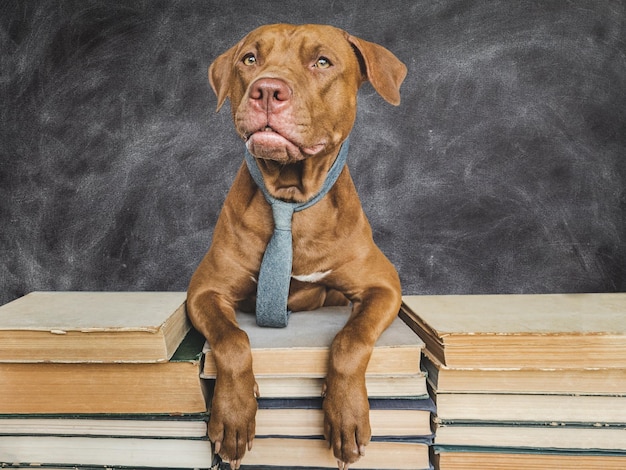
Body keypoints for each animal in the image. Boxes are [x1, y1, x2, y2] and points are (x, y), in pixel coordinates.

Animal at [186, 23, 404, 468]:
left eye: (322, 62)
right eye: (249, 59)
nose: (267, 89)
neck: (289, 198)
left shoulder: (384, 286)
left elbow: (350, 341)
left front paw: (346, 416)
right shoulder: (205, 291)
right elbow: (233, 341)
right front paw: (234, 416)